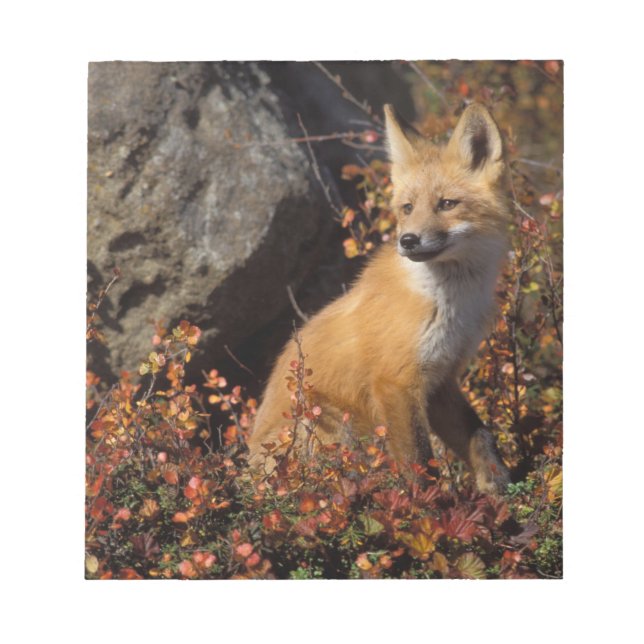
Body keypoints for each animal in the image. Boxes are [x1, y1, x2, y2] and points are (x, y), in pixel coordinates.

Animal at [247, 102, 512, 495]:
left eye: (447, 204)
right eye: (407, 208)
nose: (408, 241)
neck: (450, 304)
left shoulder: (441, 379)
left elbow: (480, 435)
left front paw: (498, 484)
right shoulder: (395, 382)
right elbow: (420, 463)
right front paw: (433, 505)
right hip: (329, 423)